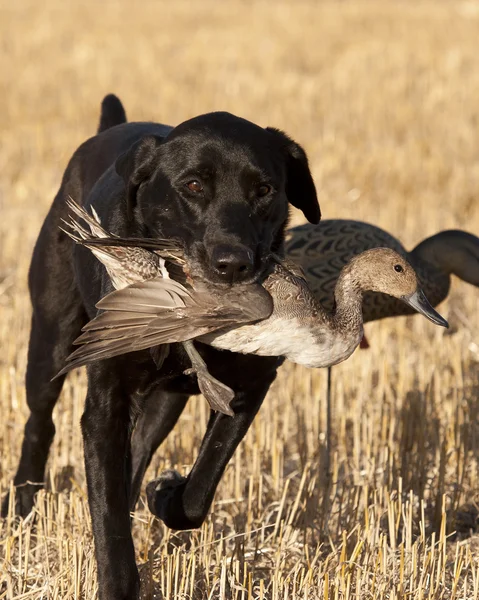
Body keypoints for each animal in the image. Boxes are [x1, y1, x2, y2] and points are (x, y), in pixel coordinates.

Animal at [3, 95, 320, 600]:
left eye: (265, 189)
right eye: (192, 185)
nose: (233, 263)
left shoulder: (250, 385)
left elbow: (200, 486)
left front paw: (165, 495)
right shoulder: (106, 403)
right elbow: (108, 514)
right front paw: (117, 581)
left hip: (164, 402)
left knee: (137, 453)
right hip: (50, 337)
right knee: (40, 424)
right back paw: (21, 510)